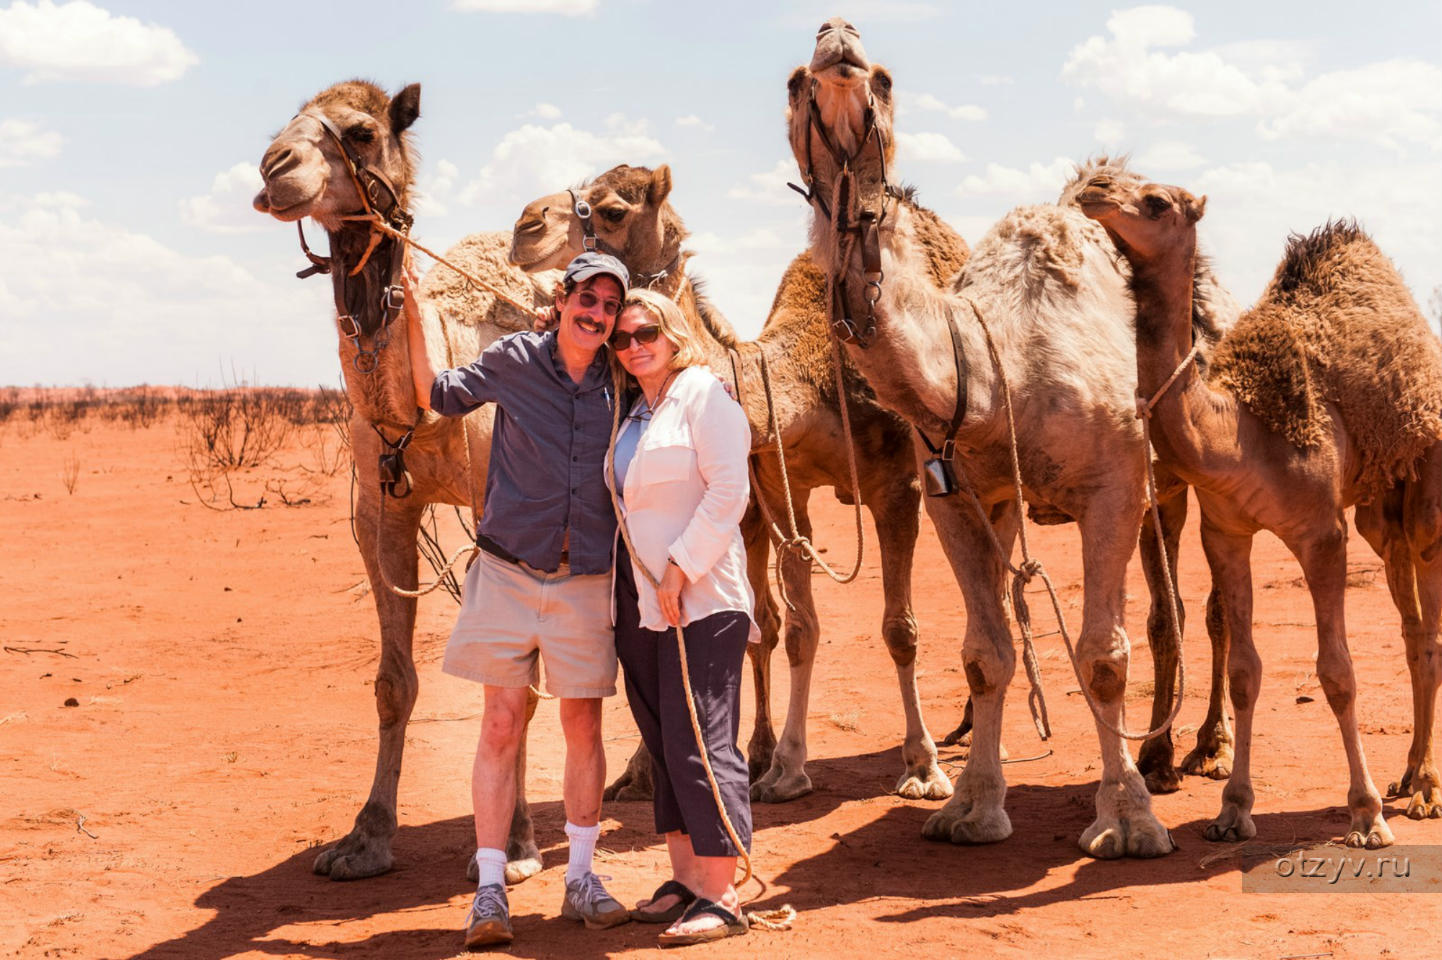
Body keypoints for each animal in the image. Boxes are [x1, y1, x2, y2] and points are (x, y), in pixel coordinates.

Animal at [250, 82, 553, 882]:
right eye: (281, 127)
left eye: (360, 131)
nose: (274, 169)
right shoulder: (379, 511)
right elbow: (393, 682)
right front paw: (364, 840)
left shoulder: (508, 512)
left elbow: (514, 679)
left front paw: (516, 847)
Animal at [510, 162, 969, 801]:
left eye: (613, 210)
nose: (524, 227)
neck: (807, 384)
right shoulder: (783, 489)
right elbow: (800, 628)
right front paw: (787, 769)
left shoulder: (898, 486)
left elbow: (899, 628)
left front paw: (923, 769)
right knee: (765, 625)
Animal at [784, 18, 1176, 853]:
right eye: (796, 82)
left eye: (885, 77)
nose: (838, 36)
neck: (998, 372)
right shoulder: (955, 497)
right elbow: (983, 654)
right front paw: (970, 809)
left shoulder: (1115, 487)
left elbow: (1103, 657)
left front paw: (1129, 819)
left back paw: (1176, 762)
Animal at [1084, 167, 1442, 841]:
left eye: (1156, 200)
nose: (1092, 188)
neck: (1239, 432)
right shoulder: (1226, 530)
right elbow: (1246, 671)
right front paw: (1233, 809)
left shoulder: (1322, 534)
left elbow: (1338, 672)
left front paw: (1365, 815)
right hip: (1382, 512)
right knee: (1411, 624)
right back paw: (1409, 775)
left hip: (1429, 489)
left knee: (1430, 624)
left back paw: (1425, 792)